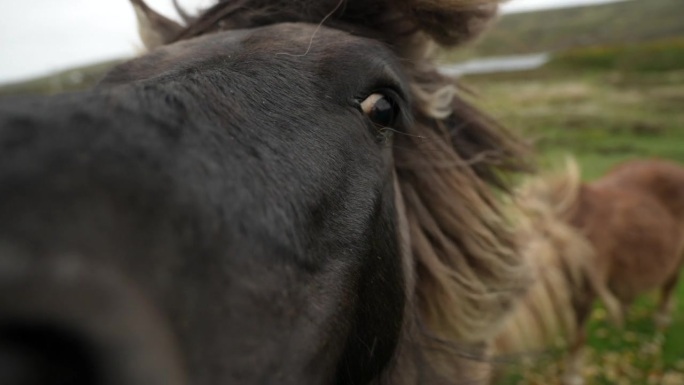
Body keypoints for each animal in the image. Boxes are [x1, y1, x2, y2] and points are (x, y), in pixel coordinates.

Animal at [494, 158, 684, 384]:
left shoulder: (584, 295)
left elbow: (577, 338)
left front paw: (573, 377)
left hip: (676, 258)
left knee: (669, 285)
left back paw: (661, 321)